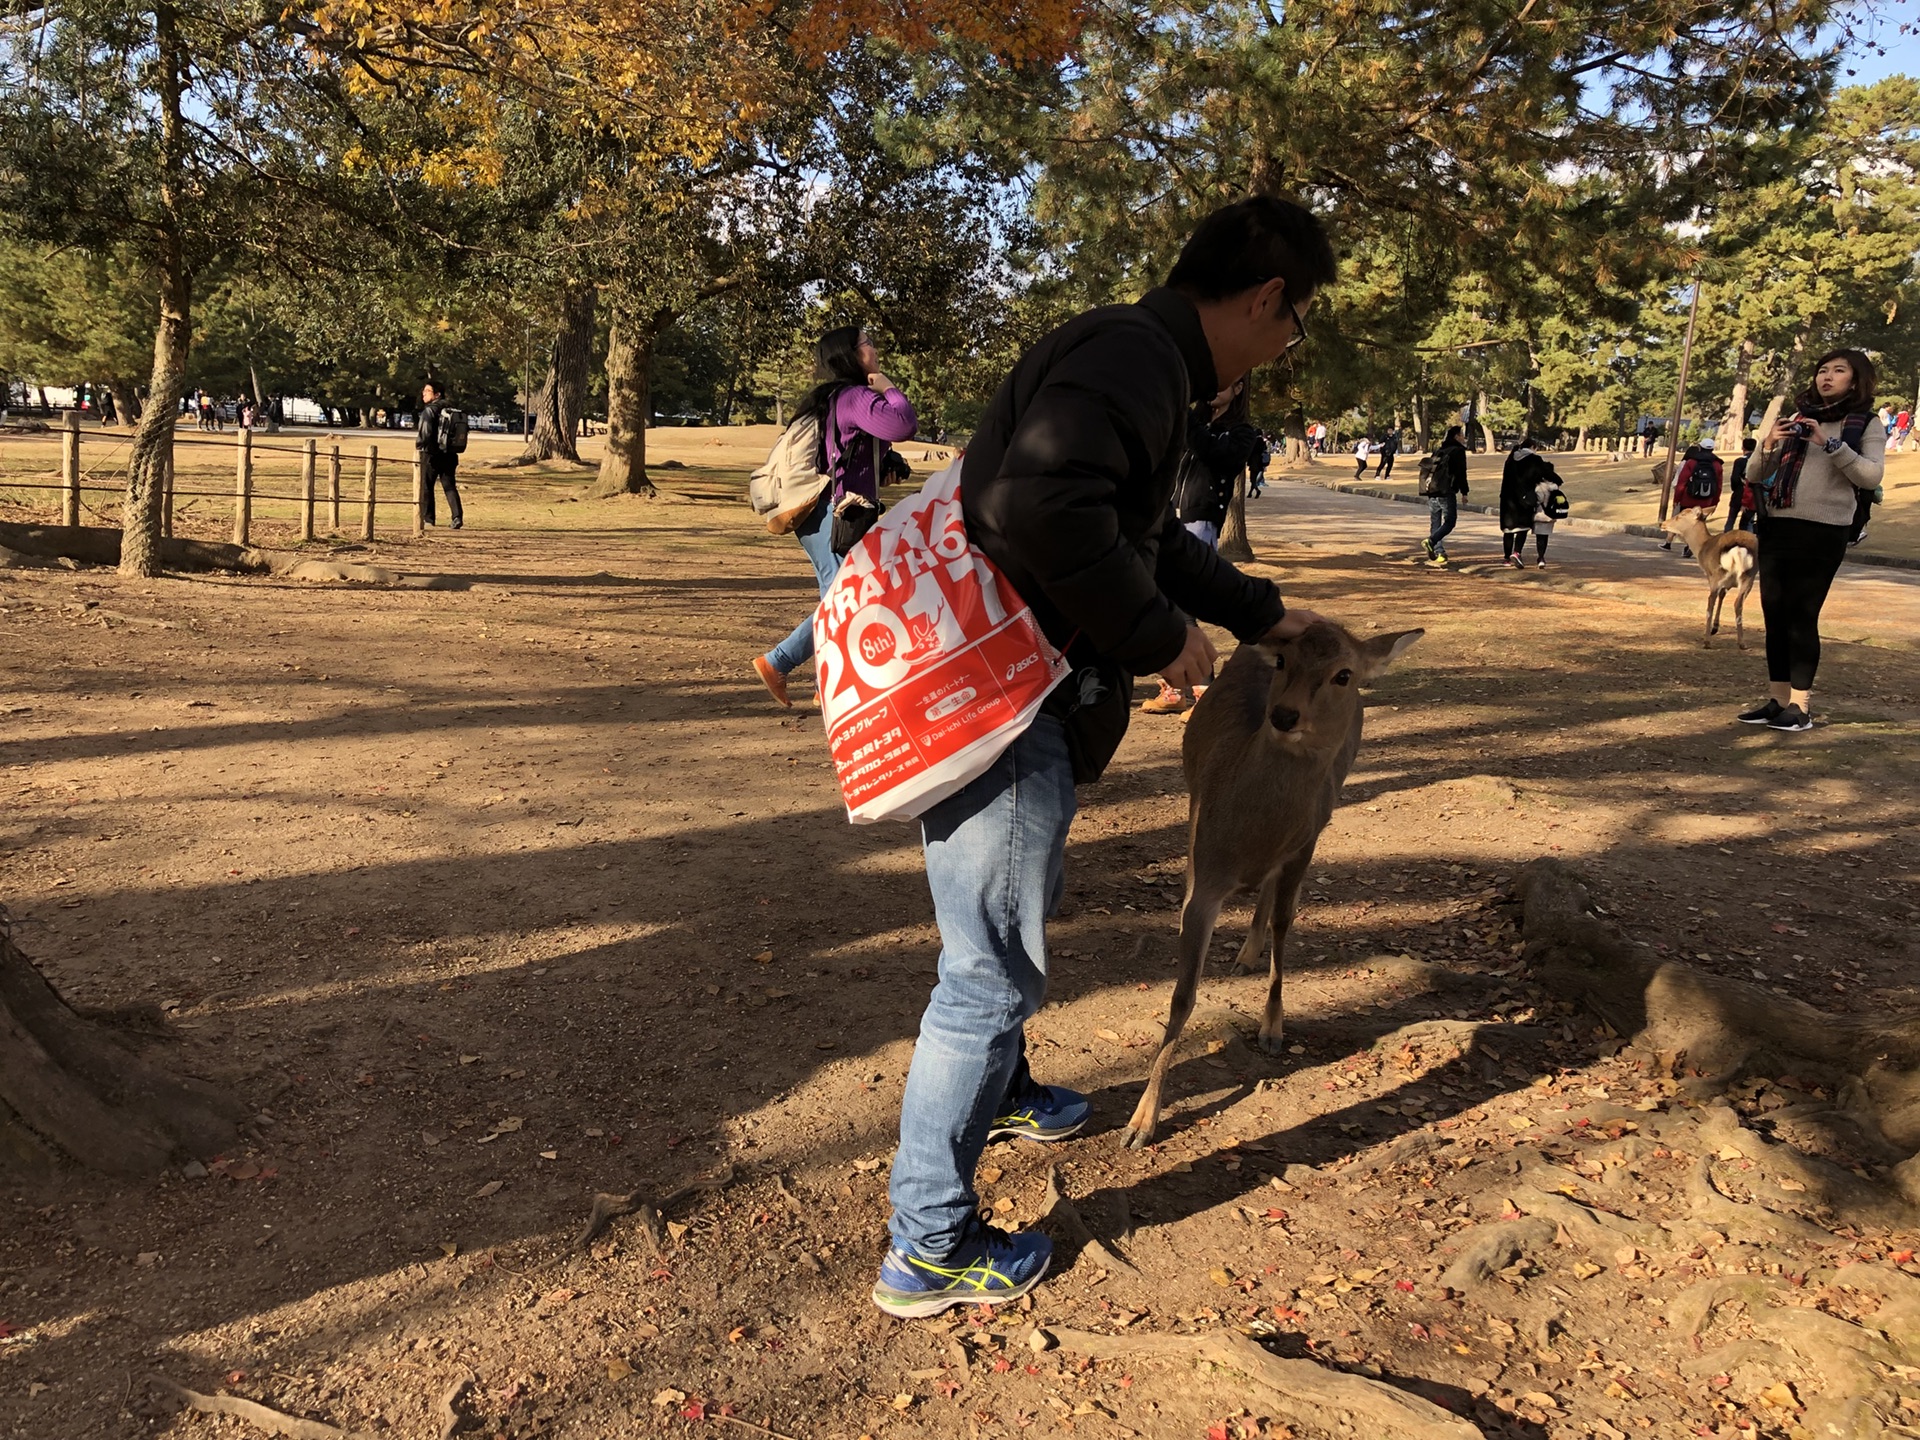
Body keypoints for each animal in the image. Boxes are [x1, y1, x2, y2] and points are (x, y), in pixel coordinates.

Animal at [1121, 622, 1420, 1152]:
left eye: (1344, 674)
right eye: (1283, 661)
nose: (1283, 714)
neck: (1253, 836)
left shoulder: (1306, 842)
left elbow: (1285, 923)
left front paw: (1273, 1029)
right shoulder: (1207, 866)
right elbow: (1182, 994)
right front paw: (1140, 1124)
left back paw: (1249, 951)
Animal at [1658, 503, 1758, 645]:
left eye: (1679, 516)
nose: (1662, 524)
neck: (1702, 547)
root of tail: (1738, 548)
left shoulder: (1711, 575)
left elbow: (1715, 598)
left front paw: (1712, 630)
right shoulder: (1729, 582)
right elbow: (1722, 595)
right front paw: (1715, 628)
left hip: (1717, 574)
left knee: (1711, 601)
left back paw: (1707, 641)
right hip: (1749, 576)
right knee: (1738, 603)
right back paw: (1741, 643)